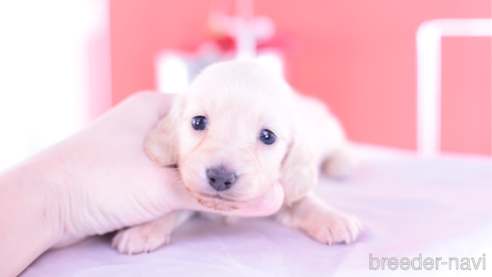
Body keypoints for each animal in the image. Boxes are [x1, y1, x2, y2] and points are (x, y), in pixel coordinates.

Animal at [113, 59, 364, 252]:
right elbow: (175, 209)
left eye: (267, 136)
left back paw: (341, 163)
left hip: (328, 130)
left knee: (342, 144)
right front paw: (144, 229)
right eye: (198, 122)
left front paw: (331, 217)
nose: (220, 177)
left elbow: (303, 199)